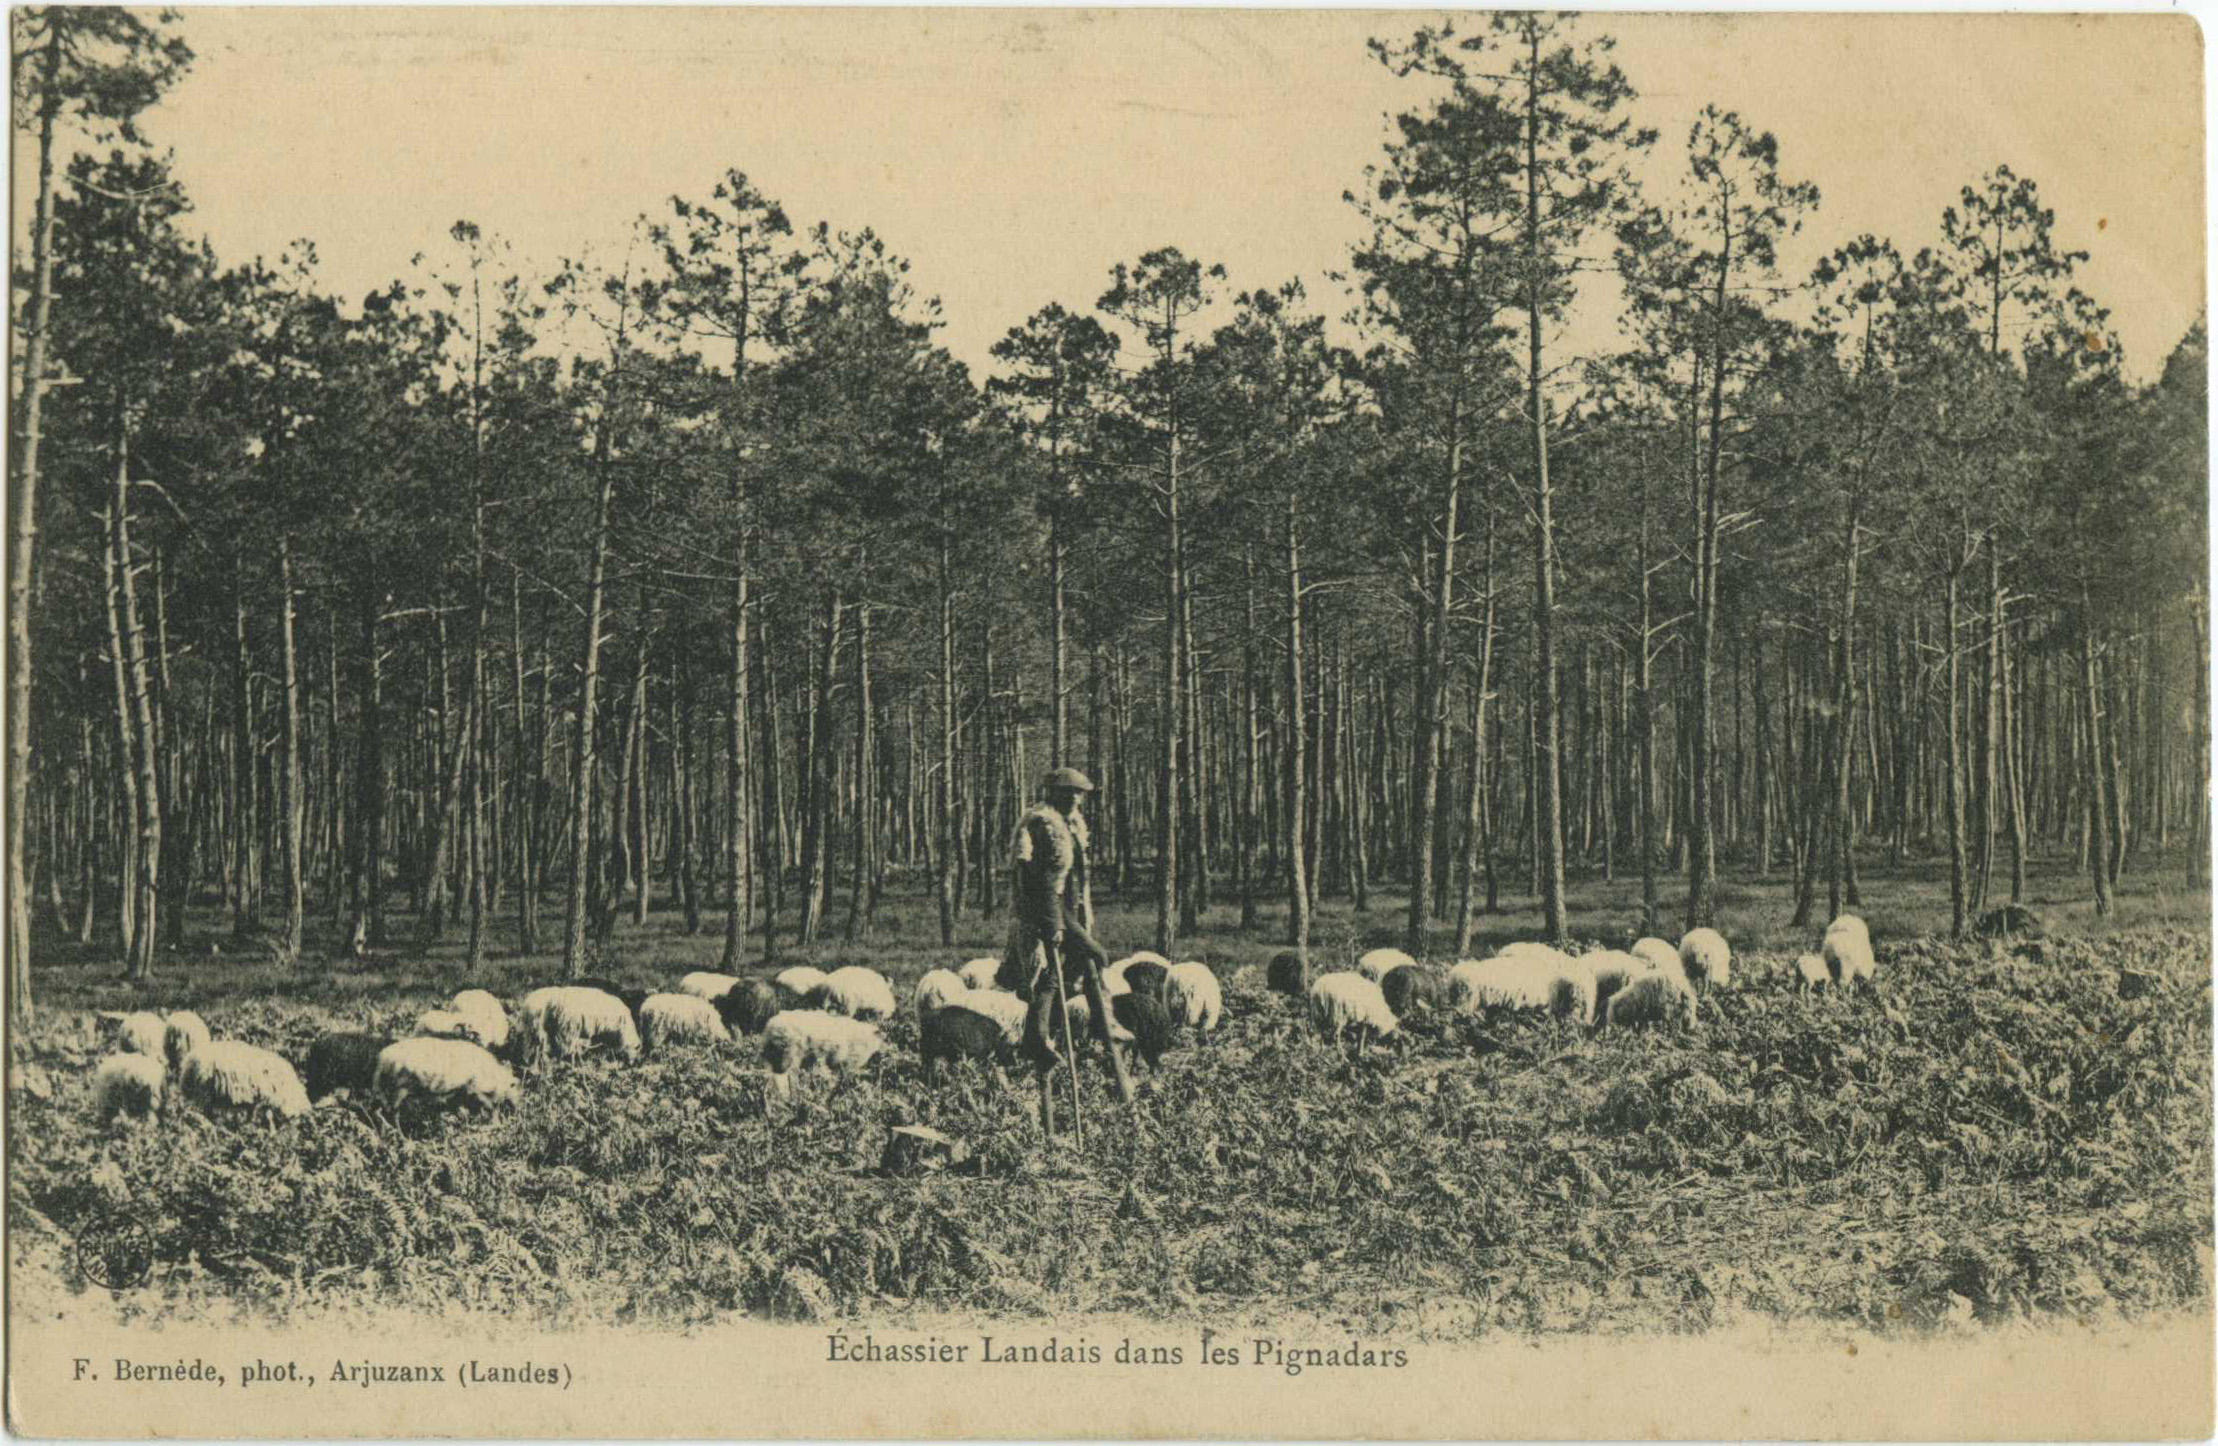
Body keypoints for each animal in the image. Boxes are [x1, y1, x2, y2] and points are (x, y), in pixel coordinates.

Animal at [381, 1033, 523, 1113]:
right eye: (514, 1086)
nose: (518, 1109)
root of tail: (383, 1057)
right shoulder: (474, 1088)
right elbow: (489, 1106)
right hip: (400, 1087)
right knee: (391, 1111)